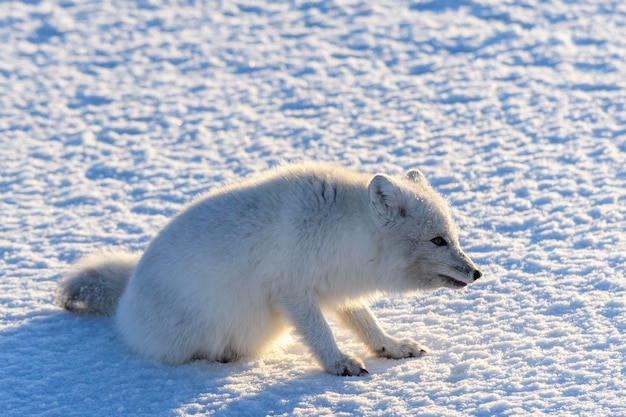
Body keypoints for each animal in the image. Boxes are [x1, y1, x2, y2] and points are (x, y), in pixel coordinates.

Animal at [57, 161, 478, 376]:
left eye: (452, 236)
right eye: (438, 240)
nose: (477, 273)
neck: (342, 229)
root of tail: (125, 297)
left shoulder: (333, 288)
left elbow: (366, 322)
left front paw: (390, 346)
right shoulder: (292, 292)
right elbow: (320, 334)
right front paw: (339, 364)